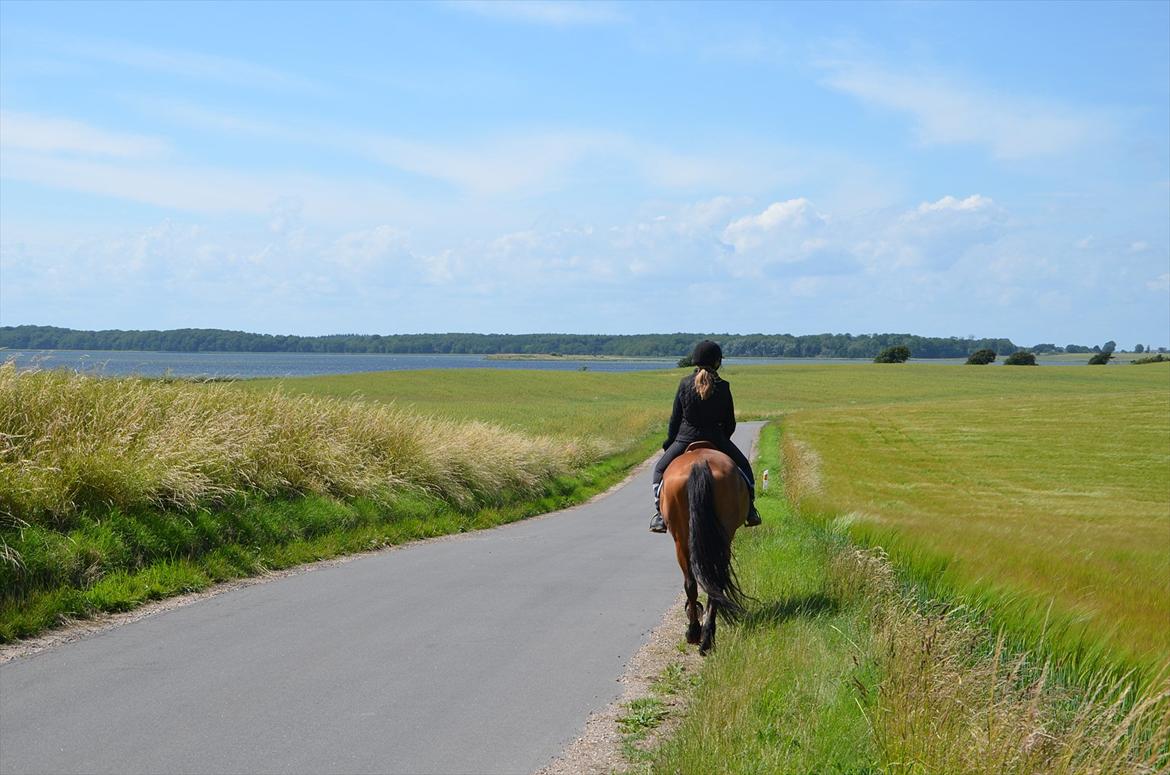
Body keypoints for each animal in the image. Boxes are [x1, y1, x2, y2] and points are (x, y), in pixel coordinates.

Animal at [659, 442, 748, 655]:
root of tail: (699, 462)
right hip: (720, 538)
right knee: (712, 582)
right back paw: (706, 636)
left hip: (681, 540)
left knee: (695, 583)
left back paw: (696, 633)